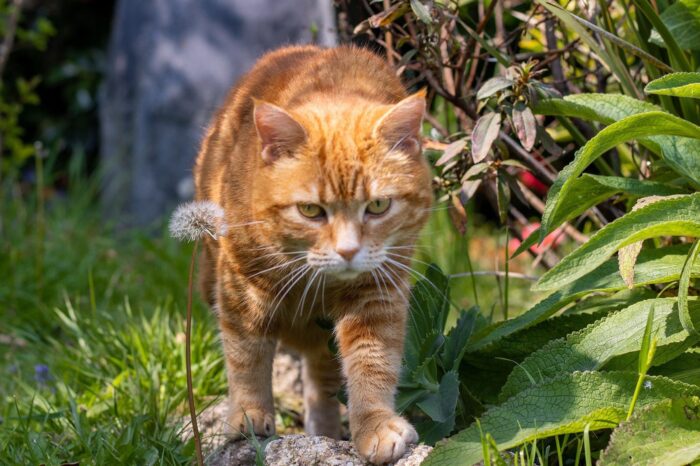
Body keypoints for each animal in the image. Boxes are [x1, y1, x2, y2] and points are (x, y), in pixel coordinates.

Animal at [193, 44, 432, 466]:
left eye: (378, 205)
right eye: (310, 211)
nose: (348, 250)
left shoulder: (376, 293)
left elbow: (373, 363)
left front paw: (374, 425)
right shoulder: (241, 288)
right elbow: (246, 357)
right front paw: (249, 414)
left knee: (322, 375)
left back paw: (324, 431)